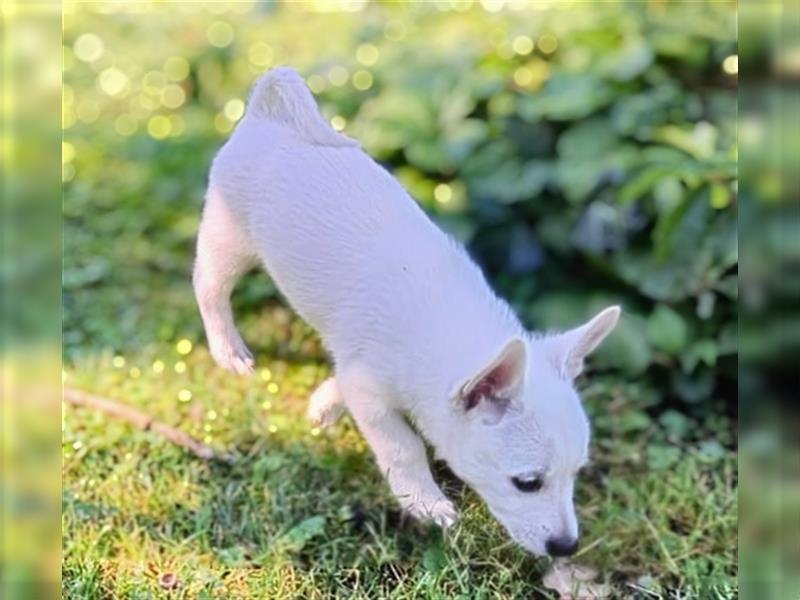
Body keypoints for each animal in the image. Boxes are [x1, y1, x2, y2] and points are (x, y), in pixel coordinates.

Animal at [192, 67, 620, 556]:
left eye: (576, 473)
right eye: (527, 483)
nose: (567, 547)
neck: (452, 331)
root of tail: (271, 114)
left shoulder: (358, 371)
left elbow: (343, 381)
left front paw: (323, 405)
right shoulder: (374, 394)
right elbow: (404, 446)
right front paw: (425, 503)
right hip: (229, 237)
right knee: (208, 284)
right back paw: (228, 349)